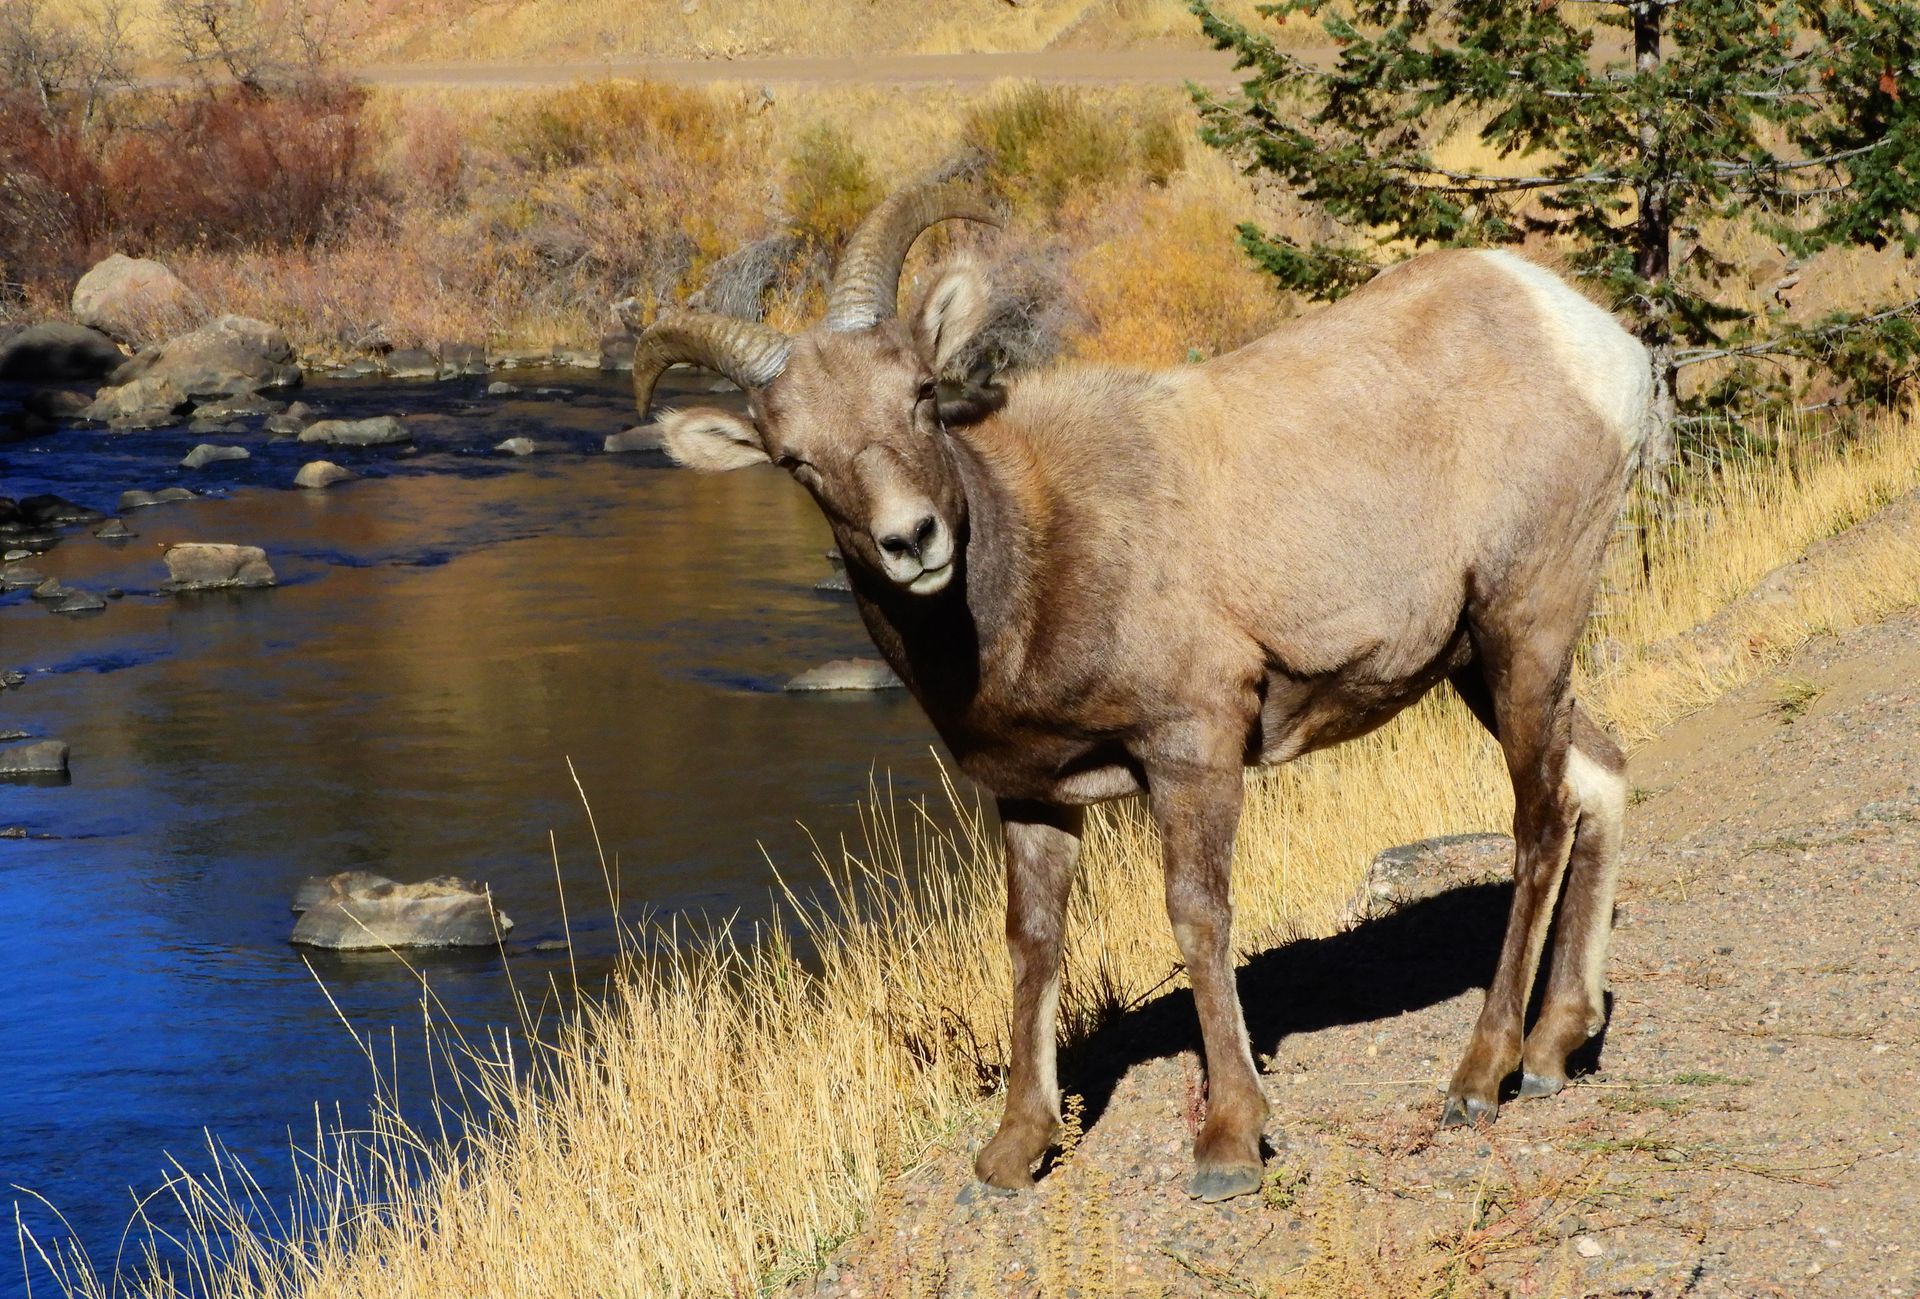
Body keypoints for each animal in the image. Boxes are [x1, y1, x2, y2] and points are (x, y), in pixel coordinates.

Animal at [616, 182, 1650, 1202]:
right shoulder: (1032, 793)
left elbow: (1198, 914)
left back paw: (1480, 1076)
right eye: (794, 457)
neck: (1036, 566)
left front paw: (1228, 1143)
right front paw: (1011, 1155)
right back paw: (1556, 1050)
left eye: (920, 395)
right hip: (1483, 661)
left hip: (1525, 624)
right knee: (1599, 774)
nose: (911, 540)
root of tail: (1594, 343)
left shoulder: (1192, 745)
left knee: (1541, 818)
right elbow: (1033, 943)